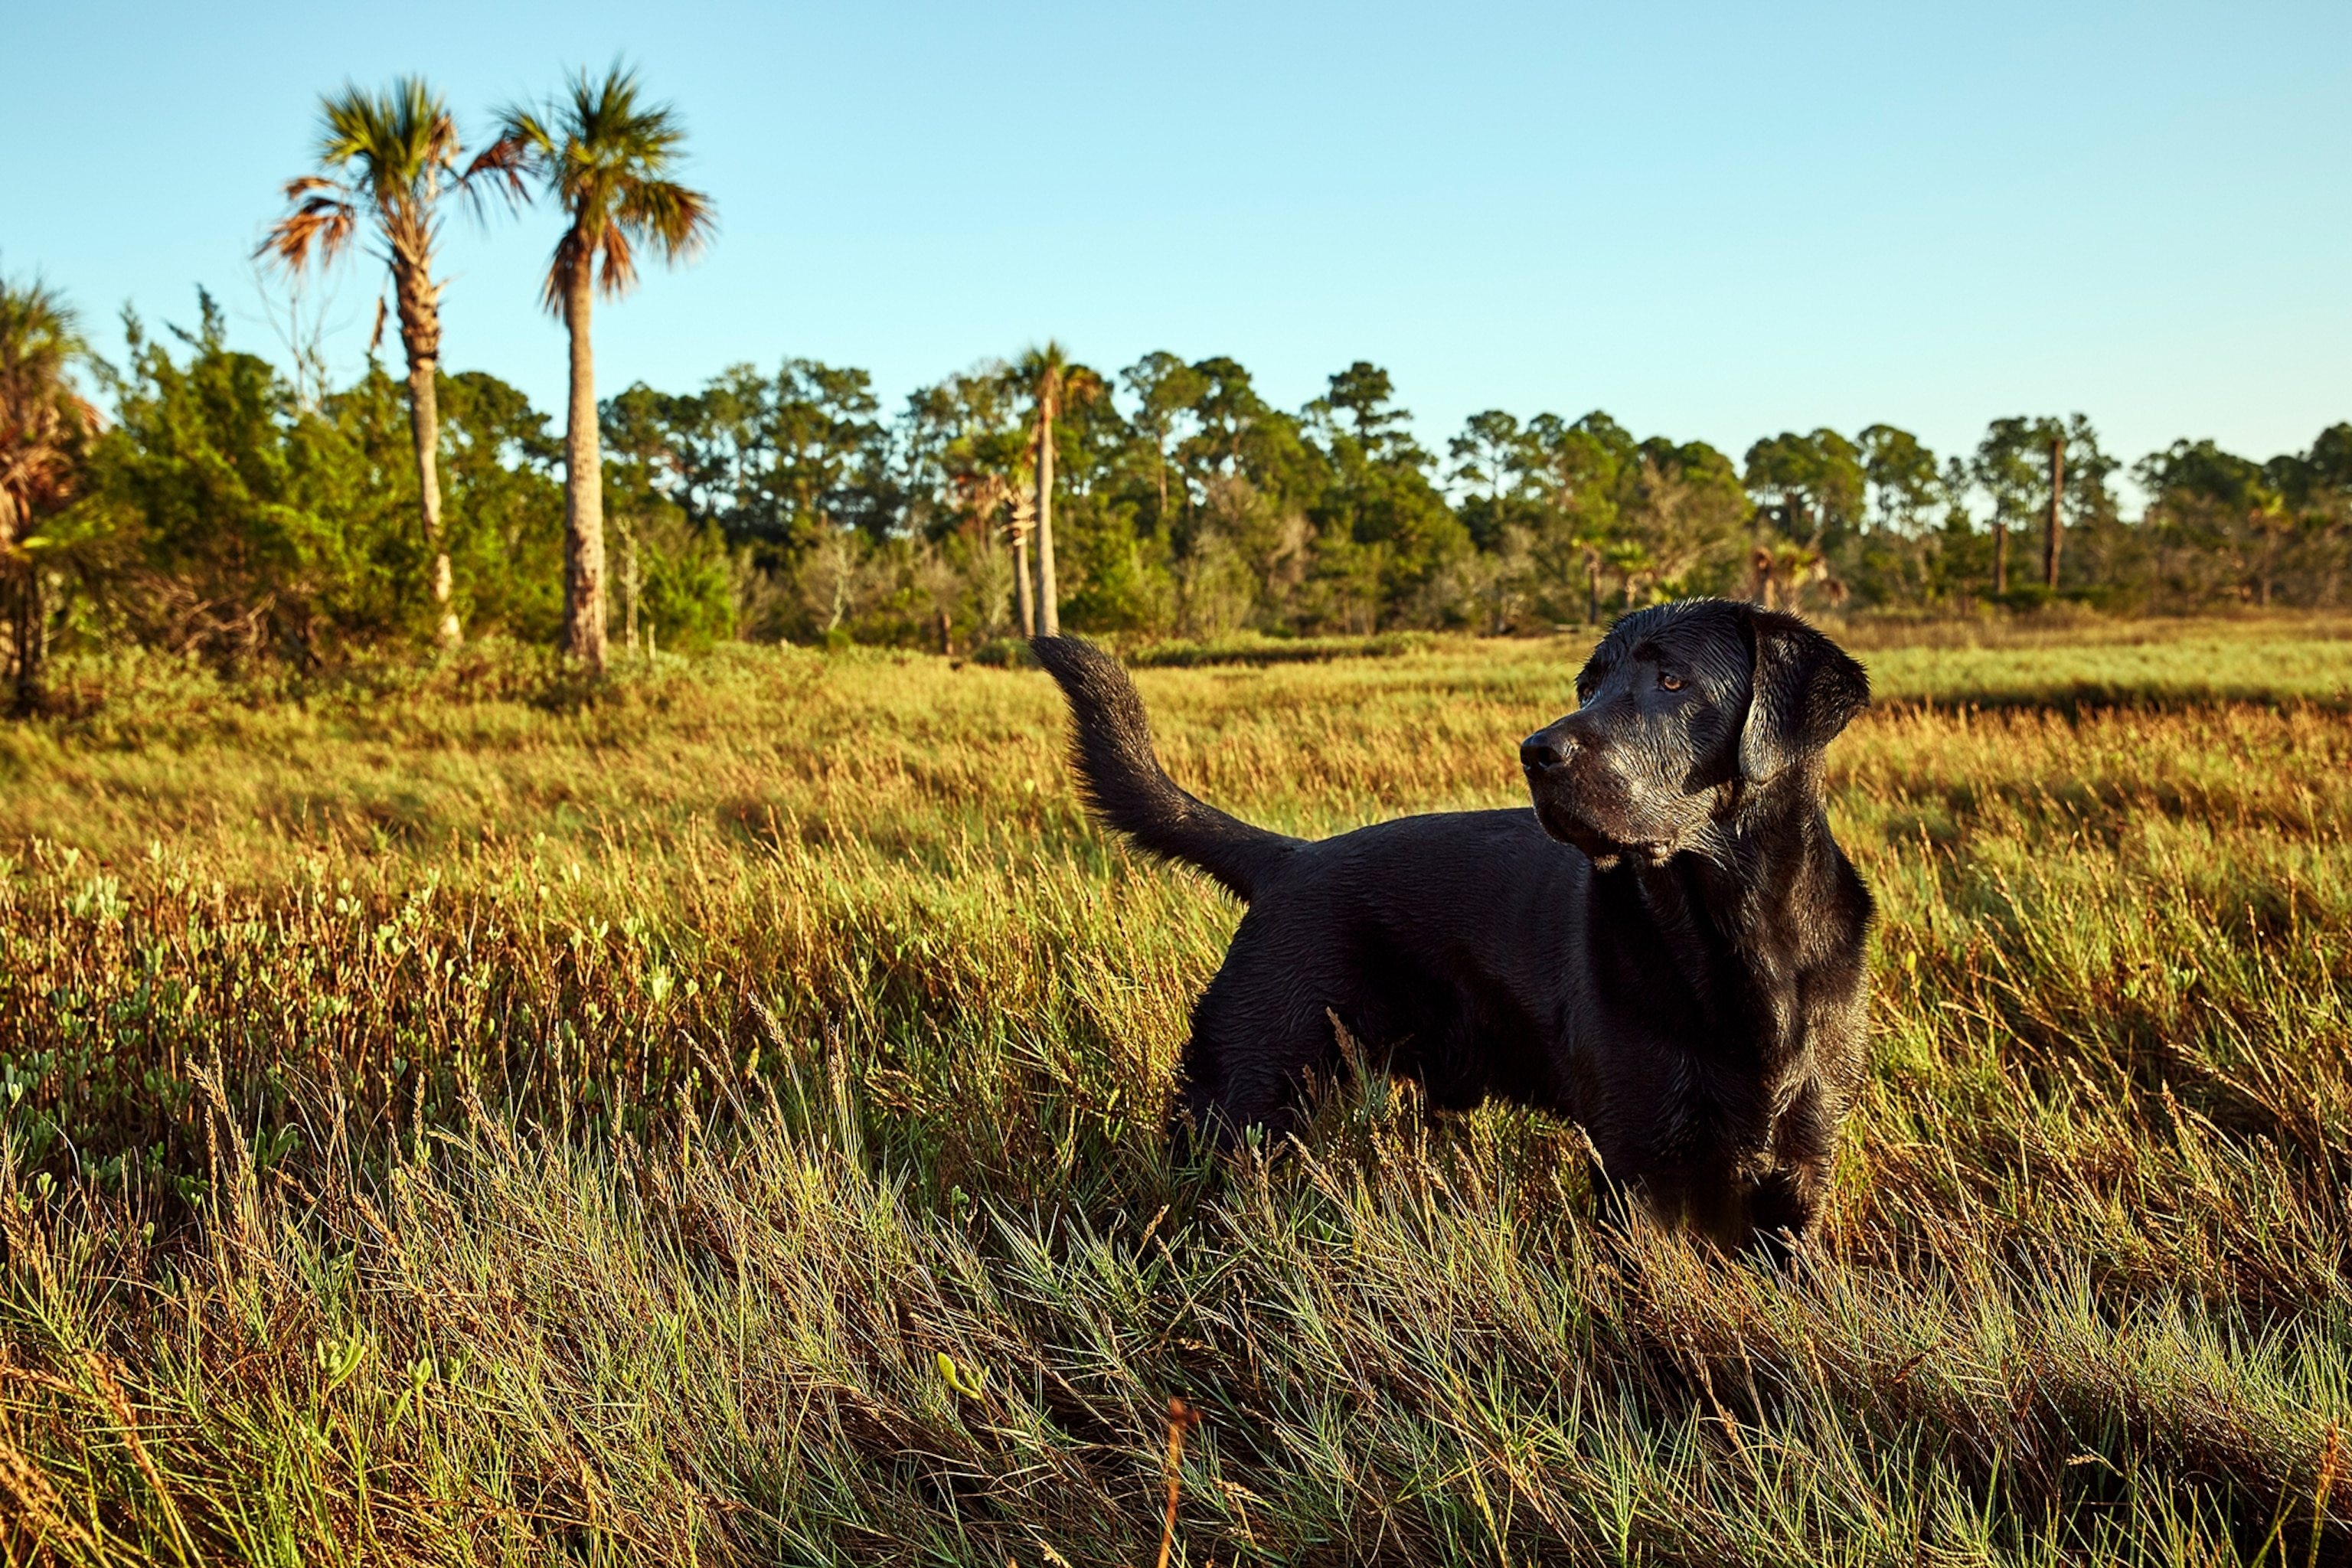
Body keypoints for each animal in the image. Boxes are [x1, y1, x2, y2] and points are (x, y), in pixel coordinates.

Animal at [1034, 594, 1872, 1259]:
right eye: (1588, 684)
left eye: (1673, 682)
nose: (1536, 751)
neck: (1739, 938)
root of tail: (1292, 858)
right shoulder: (1639, 1166)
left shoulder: (1801, 1169)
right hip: (1239, 1098)